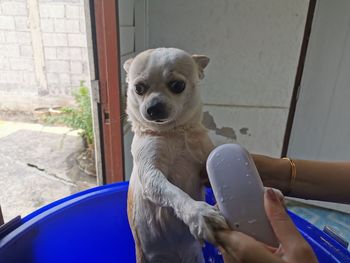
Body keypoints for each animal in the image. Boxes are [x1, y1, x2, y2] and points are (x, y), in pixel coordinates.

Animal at [123, 48, 227, 263]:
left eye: (177, 86)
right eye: (139, 88)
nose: (153, 107)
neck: (174, 132)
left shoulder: (204, 164)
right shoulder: (151, 175)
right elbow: (174, 193)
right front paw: (198, 212)